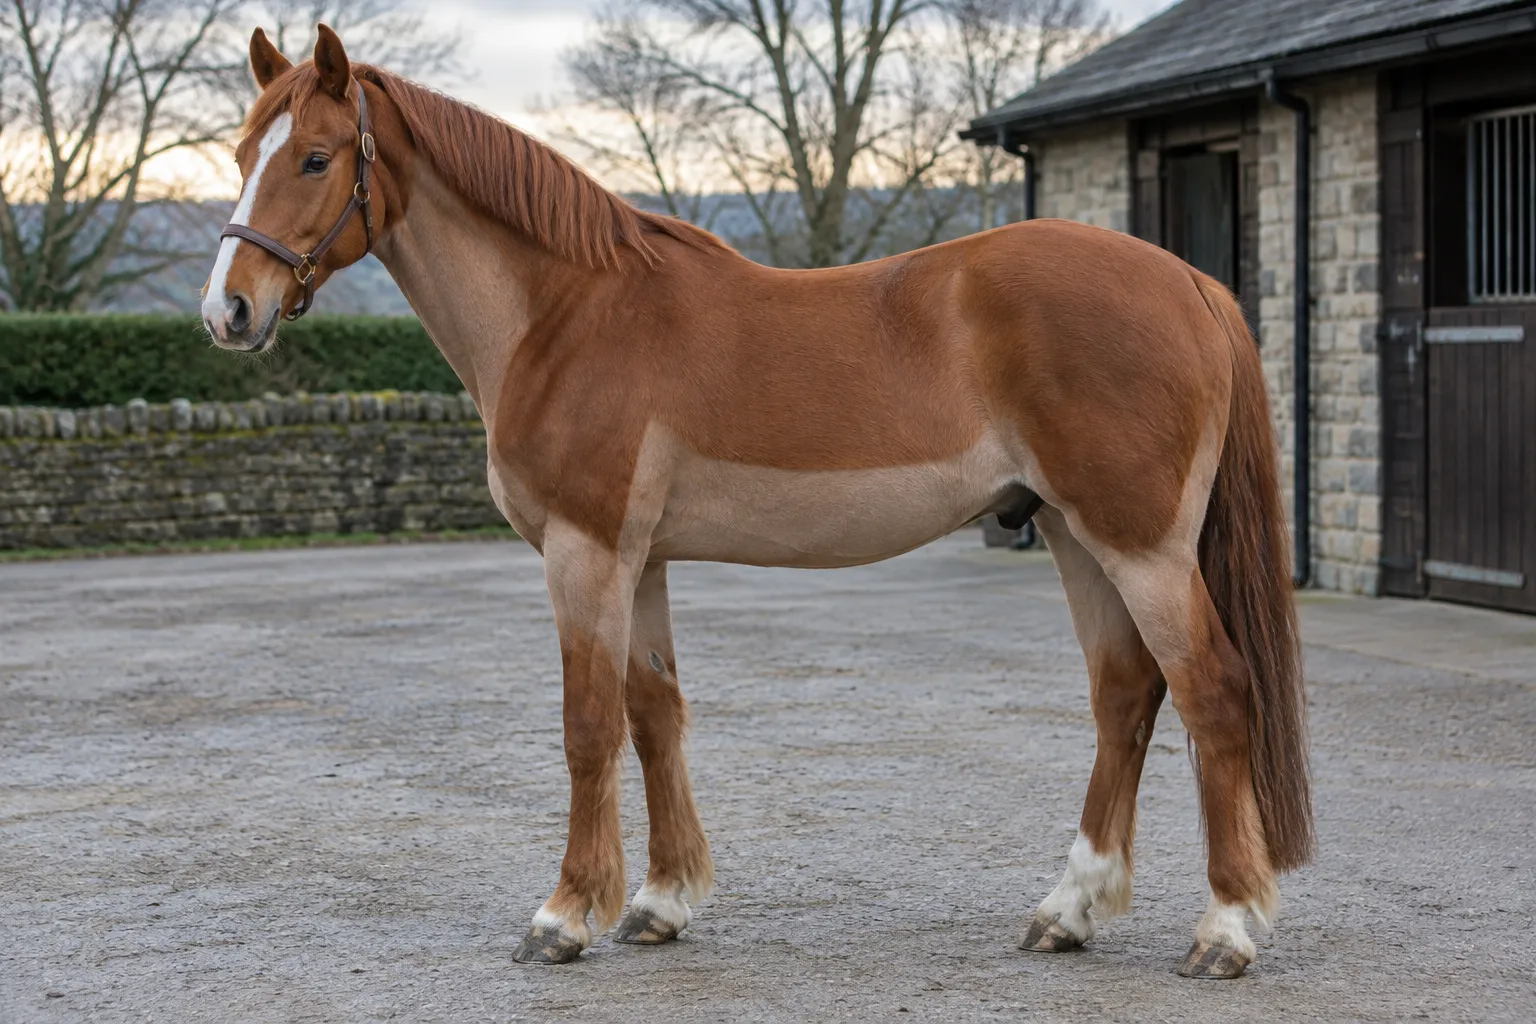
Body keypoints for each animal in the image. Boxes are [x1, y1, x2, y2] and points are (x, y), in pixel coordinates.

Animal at [201, 24, 1314, 980]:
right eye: (243, 149)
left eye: (314, 158)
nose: (228, 311)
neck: (565, 313)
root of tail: (1192, 285)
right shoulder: (640, 558)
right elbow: (656, 715)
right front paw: (660, 903)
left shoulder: (584, 550)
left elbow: (587, 725)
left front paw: (564, 916)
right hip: (1076, 537)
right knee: (1126, 693)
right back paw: (1067, 911)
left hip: (1140, 545)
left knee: (1215, 690)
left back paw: (1224, 930)